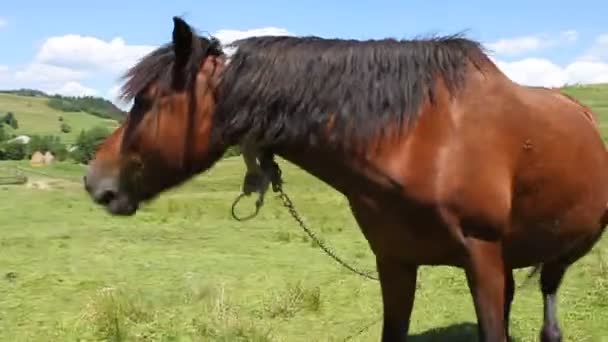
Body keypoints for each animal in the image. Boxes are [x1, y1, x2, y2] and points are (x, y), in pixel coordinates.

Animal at [83, 16, 608, 342]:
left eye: (148, 100)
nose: (94, 181)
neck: (422, 136)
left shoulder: (482, 259)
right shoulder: (395, 263)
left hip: (563, 251)